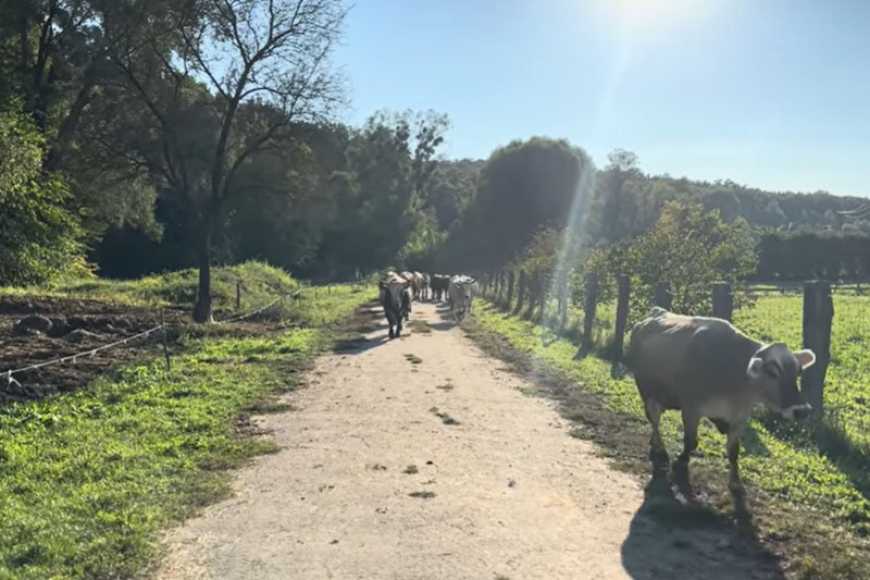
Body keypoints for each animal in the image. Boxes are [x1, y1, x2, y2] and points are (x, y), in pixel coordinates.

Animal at [628, 308, 816, 498]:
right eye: (772, 372)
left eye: (799, 372)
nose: (802, 410)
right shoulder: (691, 409)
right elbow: (691, 441)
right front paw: (681, 462)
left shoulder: (740, 418)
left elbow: (734, 452)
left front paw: (735, 482)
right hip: (646, 390)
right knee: (654, 418)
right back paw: (659, 447)